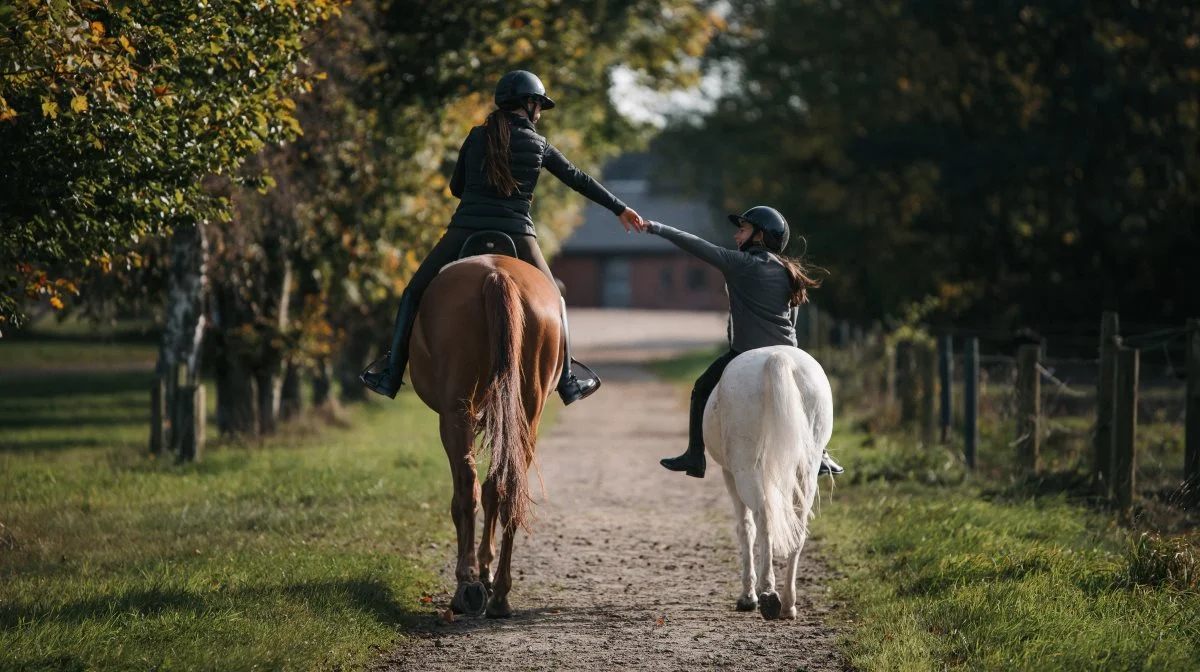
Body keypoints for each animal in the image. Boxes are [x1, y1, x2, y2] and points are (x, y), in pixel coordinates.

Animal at [408, 253, 561, 619]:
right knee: (507, 490)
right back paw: (500, 596)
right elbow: (495, 490)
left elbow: (467, 495)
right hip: (526, 418)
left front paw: (478, 573)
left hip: (454, 415)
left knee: (467, 488)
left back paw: (465, 586)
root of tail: (497, 274)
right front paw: (487, 571)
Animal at [700, 345, 835, 619]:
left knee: (763, 518)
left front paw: (747, 597)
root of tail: (777, 358)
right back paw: (788, 603)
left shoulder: (729, 474)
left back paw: (767, 593)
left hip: (744, 470)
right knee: (798, 528)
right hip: (806, 467)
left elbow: (745, 528)